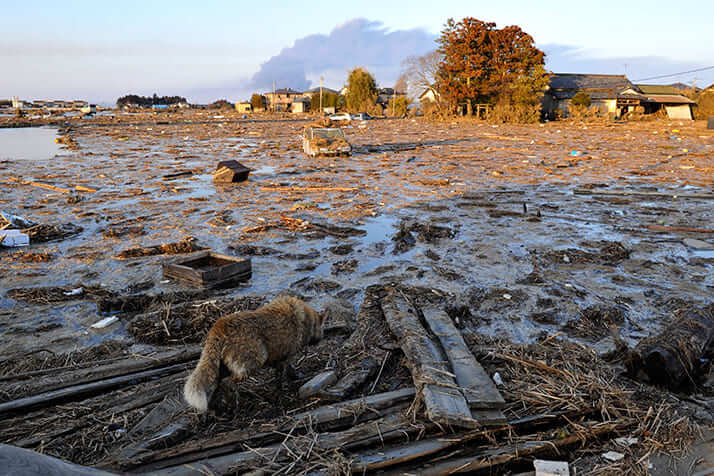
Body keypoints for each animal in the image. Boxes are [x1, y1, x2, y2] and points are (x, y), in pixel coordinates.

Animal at [185, 296, 326, 410]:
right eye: (322, 329)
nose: (321, 339)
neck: (304, 319)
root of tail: (220, 326)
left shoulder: (278, 358)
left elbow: (282, 373)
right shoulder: (287, 355)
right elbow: (284, 374)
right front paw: (282, 390)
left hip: (223, 367)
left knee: (217, 384)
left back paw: (216, 407)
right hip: (253, 363)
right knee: (226, 382)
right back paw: (235, 401)